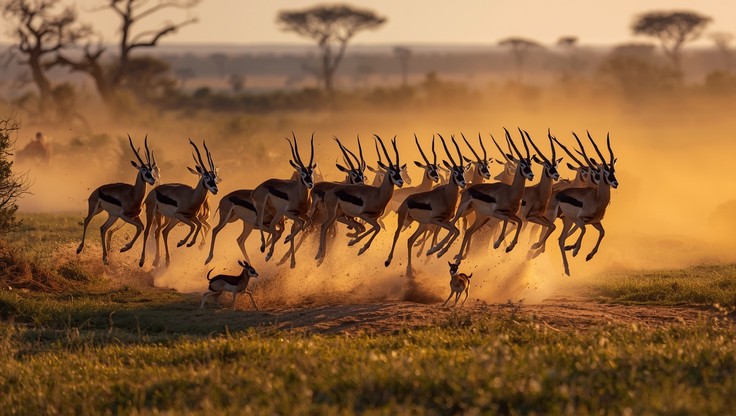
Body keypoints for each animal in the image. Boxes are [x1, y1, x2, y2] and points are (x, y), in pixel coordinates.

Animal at [77, 135, 158, 264]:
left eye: (151, 170)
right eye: (144, 170)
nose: (152, 180)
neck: (133, 194)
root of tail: (97, 190)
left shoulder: (135, 216)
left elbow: (142, 227)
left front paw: (125, 249)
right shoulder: (124, 216)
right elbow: (140, 227)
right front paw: (124, 248)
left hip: (112, 216)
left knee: (103, 228)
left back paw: (105, 258)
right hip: (96, 210)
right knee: (87, 220)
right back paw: (80, 249)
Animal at [138, 139, 220, 268]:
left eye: (214, 176)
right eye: (206, 177)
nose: (215, 189)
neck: (192, 196)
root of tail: (152, 192)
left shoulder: (192, 217)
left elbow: (198, 225)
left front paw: (190, 243)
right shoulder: (180, 215)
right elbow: (193, 226)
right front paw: (182, 243)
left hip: (170, 218)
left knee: (163, 232)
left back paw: (165, 261)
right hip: (154, 214)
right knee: (148, 232)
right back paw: (144, 261)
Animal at [252, 133, 316, 268]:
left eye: (311, 172)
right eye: (303, 173)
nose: (310, 184)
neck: (298, 195)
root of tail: (258, 188)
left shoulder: (302, 214)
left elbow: (308, 222)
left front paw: (287, 239)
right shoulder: (289, 213)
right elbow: (301, 224)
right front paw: (287, 239)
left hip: (277, 214)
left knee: (272, 227)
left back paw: (269, 253)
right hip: (267, 211)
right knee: (260, 224)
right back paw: (265, 250)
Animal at [384, 134, 467, 275]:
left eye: (463, 172)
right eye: (455, 172)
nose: (463, 183)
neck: (445, 196)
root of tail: (407, 199)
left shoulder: (445, 221)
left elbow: (455, 231)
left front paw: (439, 252)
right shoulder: (436, 220)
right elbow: (452, 231)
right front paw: (433, 251)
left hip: (422, 225)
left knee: (410, 240)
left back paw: (409, 270)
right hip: (403, 219)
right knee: (396, 234)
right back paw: (388, 261)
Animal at [449, 128, 535, 261]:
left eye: (530, 164)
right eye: (521, 164)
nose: (531, 175)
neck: (511, 193)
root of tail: (468, 189)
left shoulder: (511, 215)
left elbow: (519, 222)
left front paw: (509, 247)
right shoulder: (497, 214)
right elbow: (506, 221)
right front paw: (497, 244)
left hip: (481, 217)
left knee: (468, 231)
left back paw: (458, 259)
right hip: (465, 212)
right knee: (454, 225)